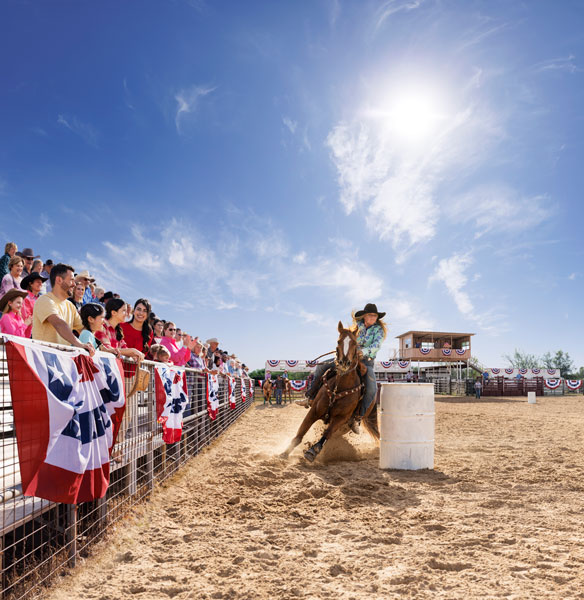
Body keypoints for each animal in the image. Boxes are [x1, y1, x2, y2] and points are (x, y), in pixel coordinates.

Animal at [280, 322, 380, 462]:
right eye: (338, 341)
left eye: (355, 343)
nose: (344, 362)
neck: (339, 387)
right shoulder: (314, 411)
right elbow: (301, 432)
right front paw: (285, 453)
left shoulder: (341, 418)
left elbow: (327, 433)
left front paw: (312, 451)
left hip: (346, 425)